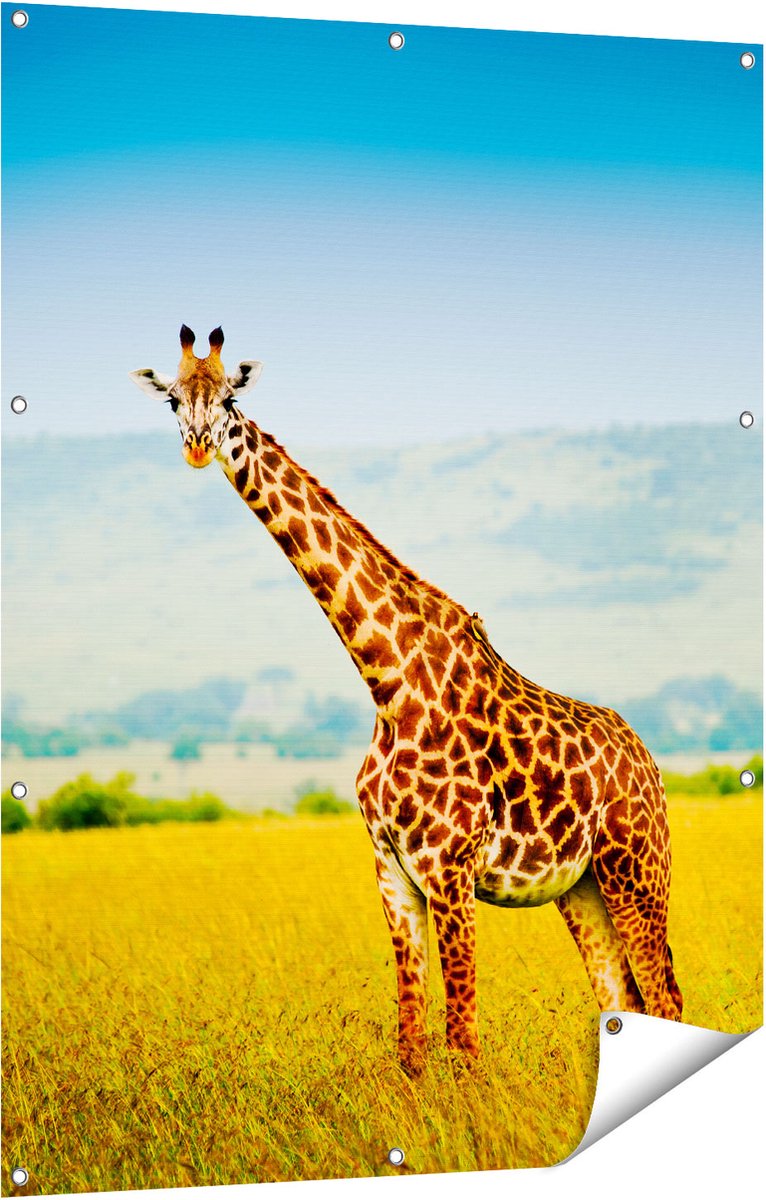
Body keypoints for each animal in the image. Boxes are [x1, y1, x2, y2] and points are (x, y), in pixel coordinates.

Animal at [130, 326, 683, 1074]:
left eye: (230, 398)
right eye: (172, 401)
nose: (196, 445)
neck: (387, 681)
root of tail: (649, 760)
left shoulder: (449, 868)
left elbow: (464, 1039)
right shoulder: (391, 870)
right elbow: (412, 1042)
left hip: (637, 869)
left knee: (666, 998)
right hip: (583, 886)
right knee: (620, 998)